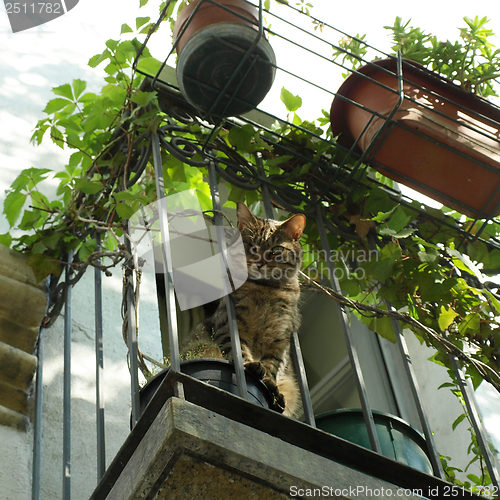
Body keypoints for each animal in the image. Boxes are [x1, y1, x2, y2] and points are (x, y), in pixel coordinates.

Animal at [180, 201, 304, 416]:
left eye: (276, 250)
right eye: (251, 246)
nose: (260, 262)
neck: (265, 289)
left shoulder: (280, 337)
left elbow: (272, 366)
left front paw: (270, 387)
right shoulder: (229, 322)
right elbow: (239, 351)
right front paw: (250, 366)